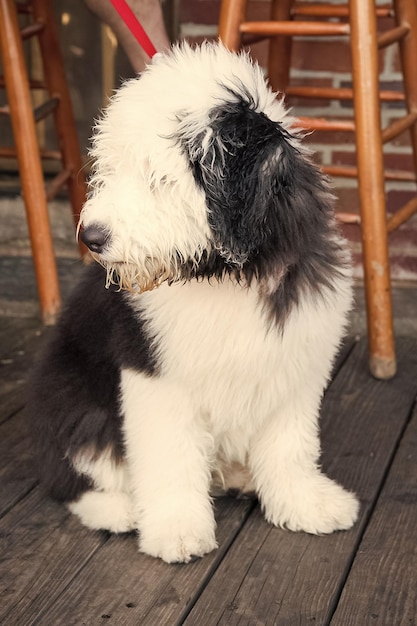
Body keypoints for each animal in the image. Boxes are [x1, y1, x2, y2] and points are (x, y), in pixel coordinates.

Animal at [29, 42, 358, 560]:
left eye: (156, 178)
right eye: (111, 168)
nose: (91, 236)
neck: (226, 276)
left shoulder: (293, 361)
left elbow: (290, 446)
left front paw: (305, 503)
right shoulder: (155, 373)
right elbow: (170, 456)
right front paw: (177, 529)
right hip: (72, 401)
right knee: (72, 474)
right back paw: (118, 510)